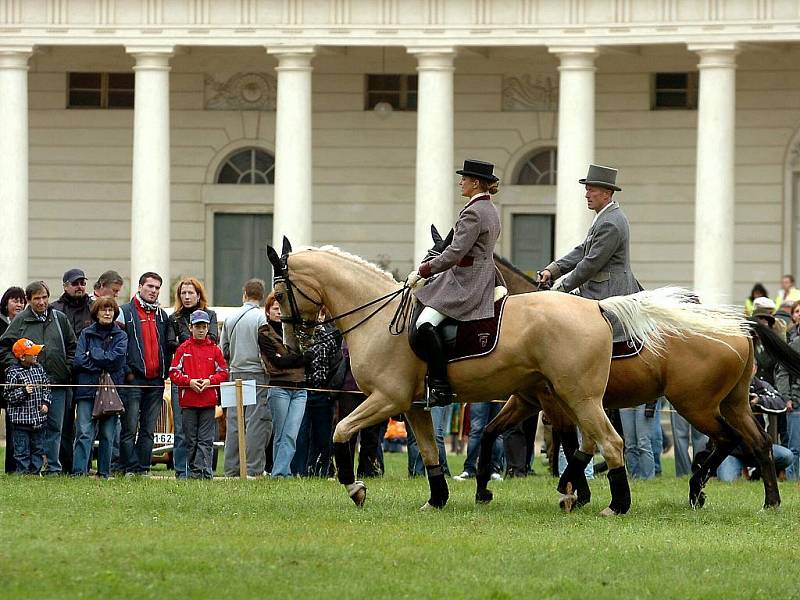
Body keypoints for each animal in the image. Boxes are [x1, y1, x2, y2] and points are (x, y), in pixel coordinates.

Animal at [266, 239, 752, 516]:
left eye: (279, 293)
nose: (292, 346)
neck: (382, 318)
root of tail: (597, 308)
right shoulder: (414, 406)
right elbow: (432, 453)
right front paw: (438, 499)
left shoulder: (386, 398)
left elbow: (339, 432)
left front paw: (355, 487)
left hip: (609, 399)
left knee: (615, 444)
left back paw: (621, 504)